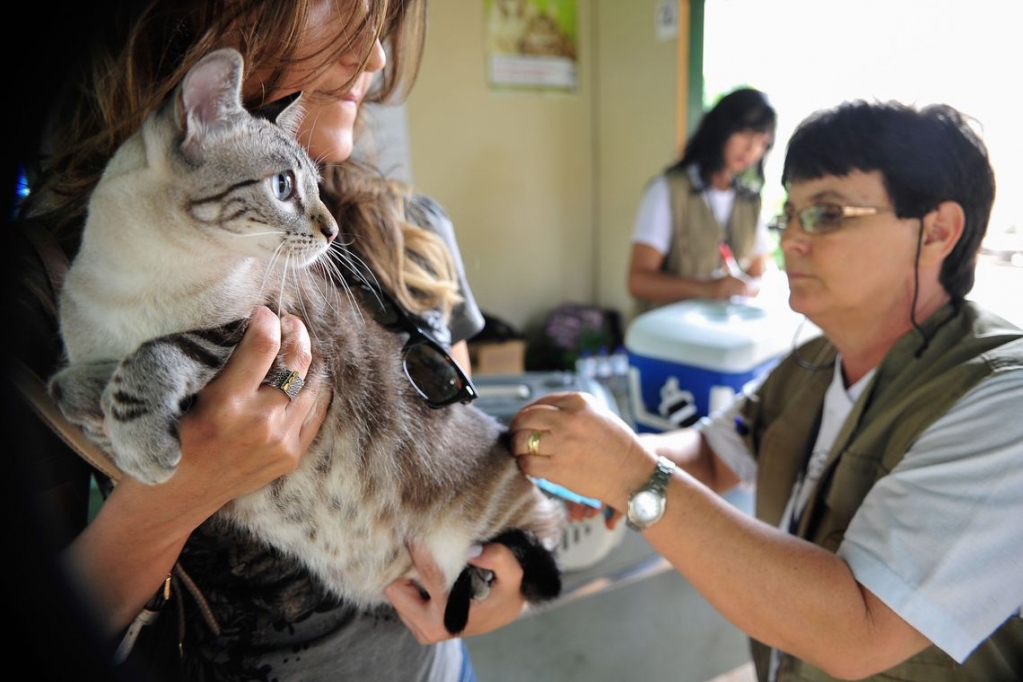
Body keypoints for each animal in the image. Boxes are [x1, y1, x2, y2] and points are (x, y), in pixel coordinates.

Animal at [51, 48, 564, 633]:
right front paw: (108, 411)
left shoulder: (264, 330)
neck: (142, 280)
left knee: (536, 553)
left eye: (315, 187)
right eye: (283, 187)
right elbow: (69, 388)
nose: (334, 230)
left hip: (504, 532)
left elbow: (158, 351)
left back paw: (480, 579)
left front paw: (144, 441)